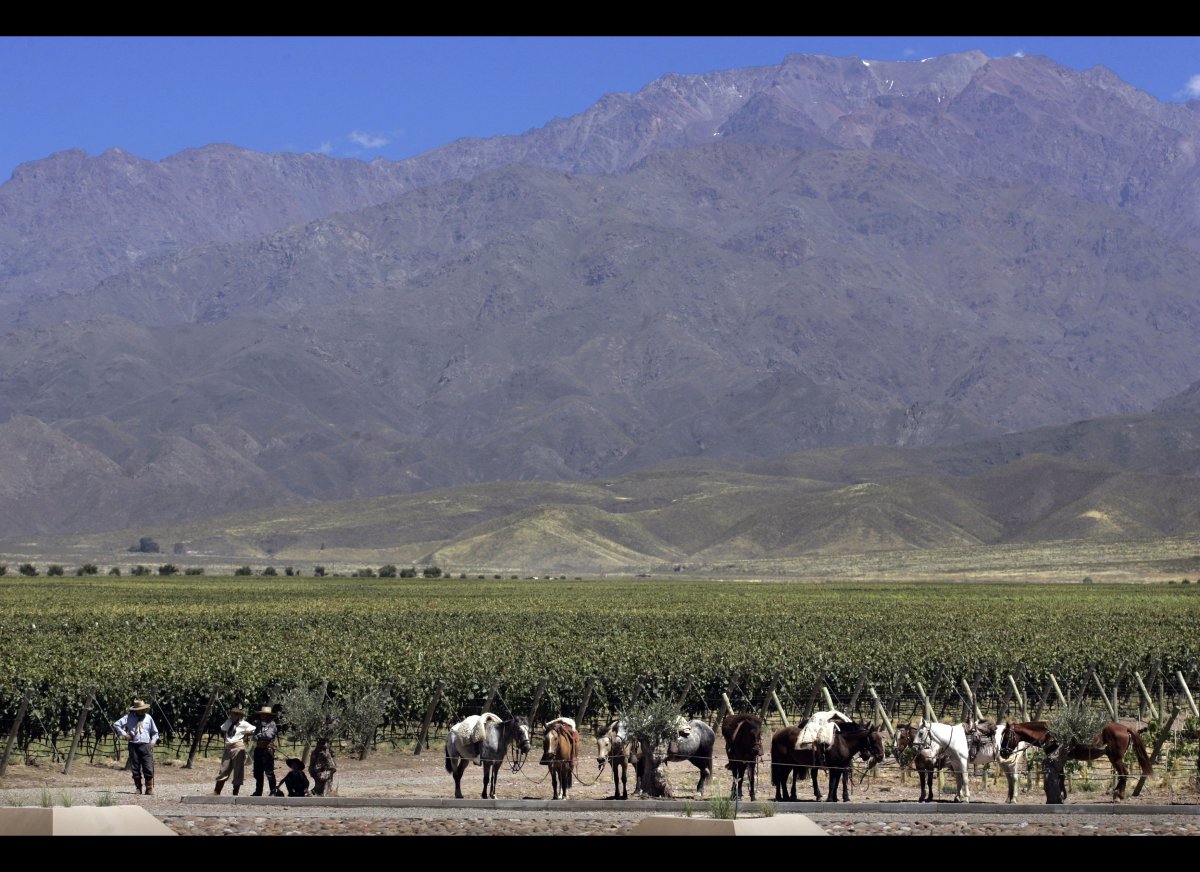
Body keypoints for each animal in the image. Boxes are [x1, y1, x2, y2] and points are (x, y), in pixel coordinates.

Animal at [998, 719, 1147, 801]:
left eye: (1006, 736)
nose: (1003, 753)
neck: (1048, 734)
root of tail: (1126, 728)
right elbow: (1062, 776)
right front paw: (1063, 794)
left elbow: (1061, 776)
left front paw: (1061, 794)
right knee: (1123, 774)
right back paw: (1115, 793)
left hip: (1115, 758)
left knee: (1124, 773)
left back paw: (1118, 796)